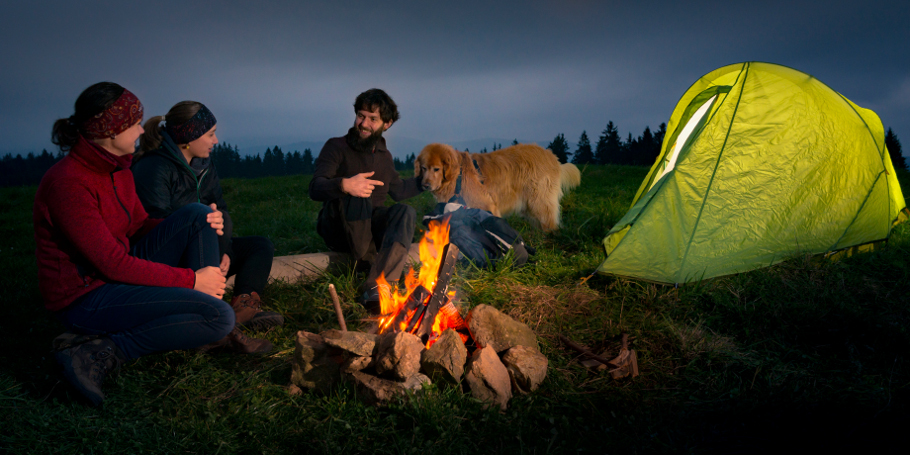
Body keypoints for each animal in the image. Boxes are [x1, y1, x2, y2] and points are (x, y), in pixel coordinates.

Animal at [416, 143, 580, 232]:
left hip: (539, 199)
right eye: (423, 168)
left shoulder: (486, 205)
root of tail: (552, 157)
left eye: (436, 169)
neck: (458, 175)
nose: (425, 185)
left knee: (549, 221)